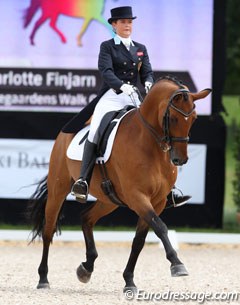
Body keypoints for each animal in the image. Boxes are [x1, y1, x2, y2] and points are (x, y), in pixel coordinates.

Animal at [27, 76, 210, 292]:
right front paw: (177, 264)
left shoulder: (156, 202)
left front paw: (129, 280)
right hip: (59, 189)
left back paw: (86, 267)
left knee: (86, 218)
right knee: (48, 230)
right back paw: (43, 278)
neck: (149, 143)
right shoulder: (137, 197)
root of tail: (64, 134)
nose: (180, 160)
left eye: (194, 118)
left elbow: (139, 241)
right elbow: (160, 227)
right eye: (173, 118)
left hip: (109, 200)